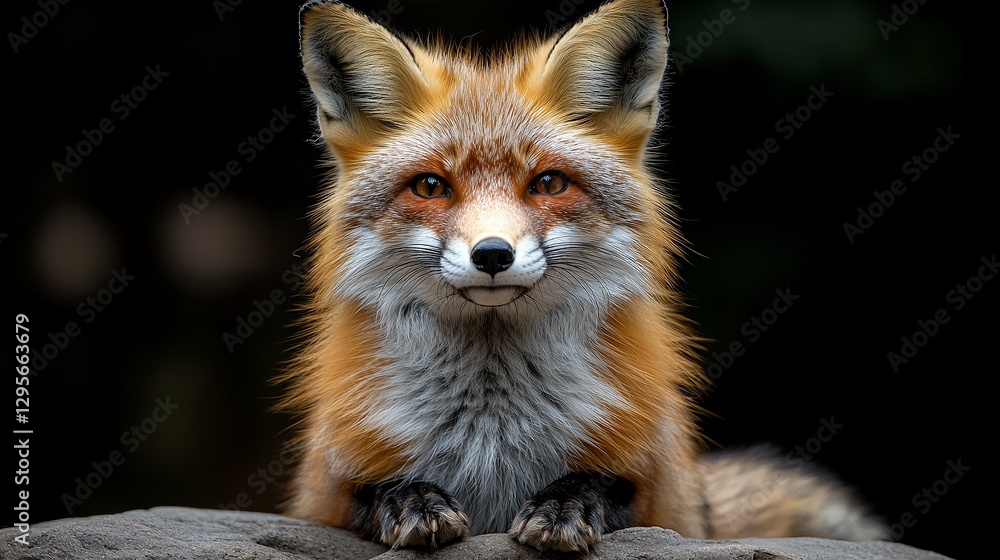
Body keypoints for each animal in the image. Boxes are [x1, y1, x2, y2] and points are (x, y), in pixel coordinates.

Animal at [281, 0, 888, 552]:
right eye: (430, 187)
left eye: (549, 183)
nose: (493, 254)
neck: (492, 433)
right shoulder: (323, 491)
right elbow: (373, 490)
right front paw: (413, 500)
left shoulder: (663, 492)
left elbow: (604, 485)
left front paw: (563, 505)